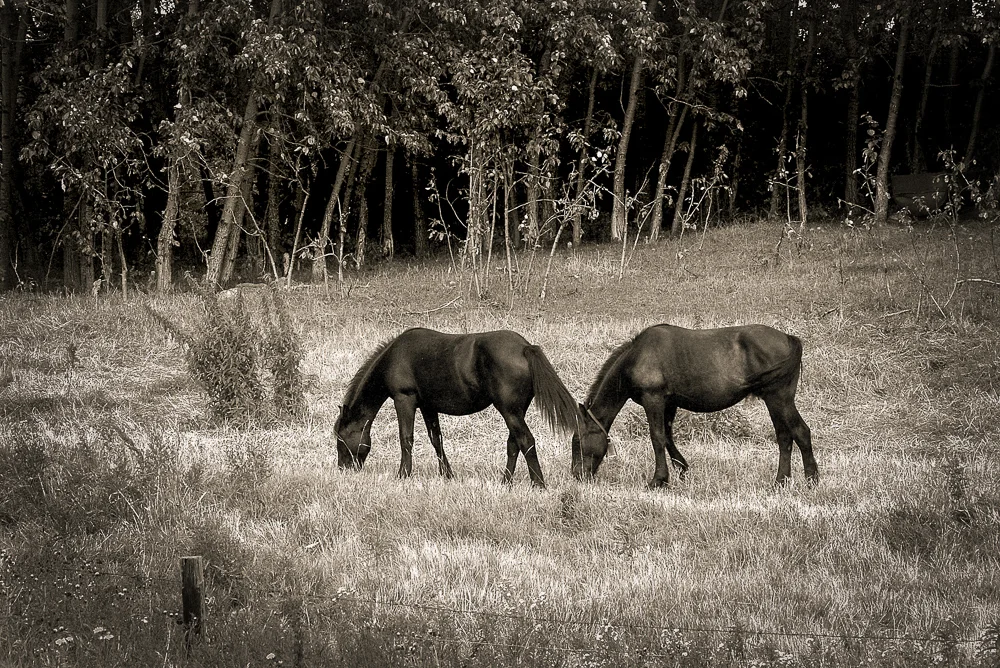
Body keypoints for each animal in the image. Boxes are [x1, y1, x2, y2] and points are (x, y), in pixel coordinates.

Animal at [335, 328, 581, 487]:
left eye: (340, 438)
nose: (343, 469)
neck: (395, 357)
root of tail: (525, 348)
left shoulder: (404, 400)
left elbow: (406, 438)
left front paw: (403, 474)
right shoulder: (428, 406)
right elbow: (436, 439)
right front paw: (447, 475)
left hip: (509, 410)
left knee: (526, 441)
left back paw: (538, 484)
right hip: (516, 411)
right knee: (514, 444)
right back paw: (505, 482)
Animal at [571, 324, 817, 488]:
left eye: (578, 443)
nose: (576, 476)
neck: (637, 356)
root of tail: (788, 338)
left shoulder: (654, 400)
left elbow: (657, 438)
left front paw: (658, 480)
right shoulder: (669, 404)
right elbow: (667, 437)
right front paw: (681, 469)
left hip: (779, 399)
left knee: (800, 432)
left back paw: (811, 479)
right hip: (774, 401)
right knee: (784, 438)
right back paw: (781, 481)